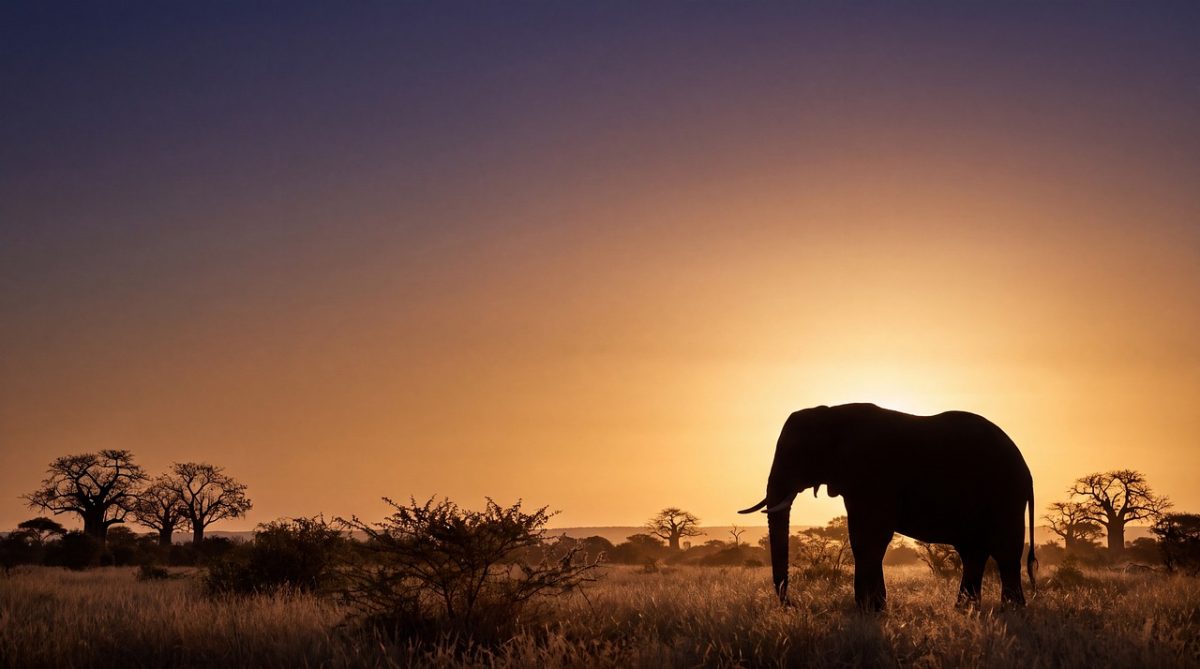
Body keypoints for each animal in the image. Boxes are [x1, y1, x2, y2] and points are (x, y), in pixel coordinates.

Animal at [739, 403, 1036, 611]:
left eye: (794, 452)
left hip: (1005, 494)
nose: (792, 604)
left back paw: (1010, 610)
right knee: (973, 552)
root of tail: (1027, 469)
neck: (831, 414)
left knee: (1004, 551)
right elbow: (862, 536)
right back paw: (965, 610)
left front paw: (870, 609)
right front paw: (872, 608)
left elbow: (870, 537)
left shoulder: (873, 472)